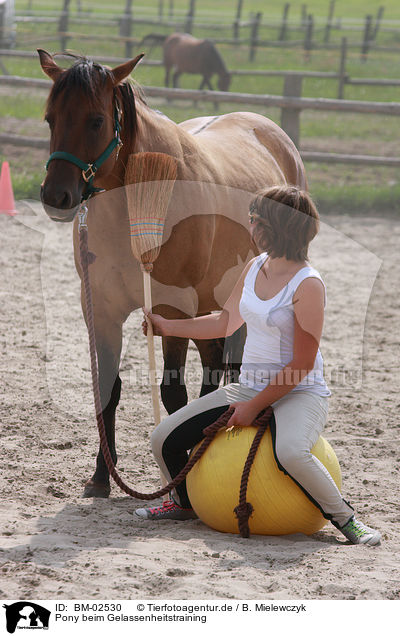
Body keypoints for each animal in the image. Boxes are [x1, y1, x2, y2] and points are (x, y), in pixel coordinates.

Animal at [38, 48, 306, 496]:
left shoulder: (174, 311)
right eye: (50, 118)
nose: (56, 196)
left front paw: (178, 487)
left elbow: (173, 394)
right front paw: (101, 477)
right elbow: (108, 389)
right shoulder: (102, 313)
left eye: (96, 120)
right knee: (215, 363)